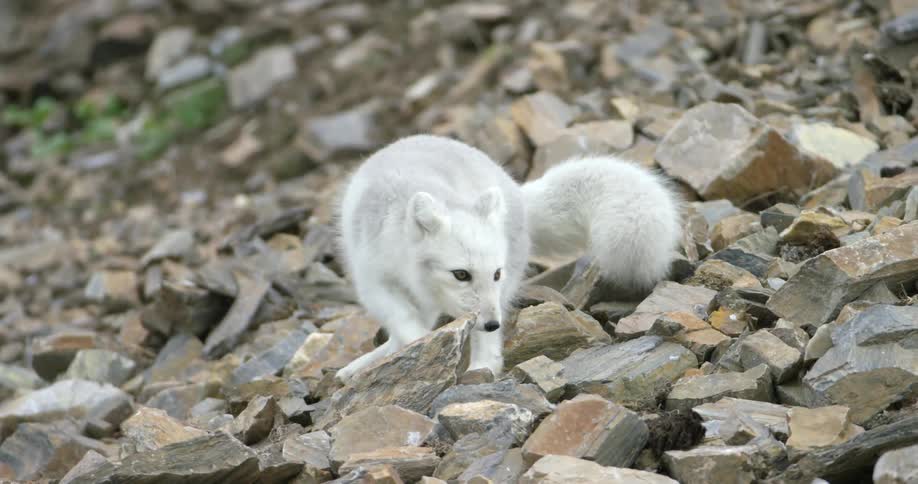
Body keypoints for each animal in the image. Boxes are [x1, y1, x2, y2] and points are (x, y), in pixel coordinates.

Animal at [334, 134, 682, 382]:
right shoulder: (373, 280)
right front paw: (420, 348)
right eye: (461, 274)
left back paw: (482, 367)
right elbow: (405, 322)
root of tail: (515, 190)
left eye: (495, 274)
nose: (491, 323)